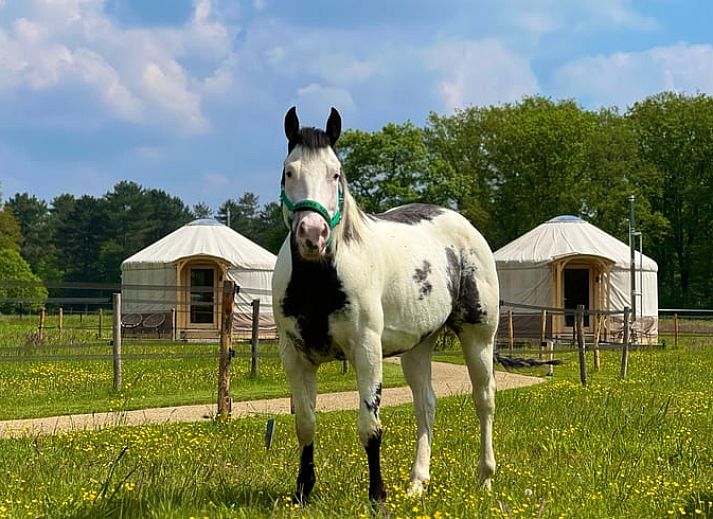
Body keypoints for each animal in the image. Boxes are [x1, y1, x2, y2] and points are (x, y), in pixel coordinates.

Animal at [272, 107, 500, 504]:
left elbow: (370, 426)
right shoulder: (295, 355)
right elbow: (305, 423)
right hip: (418, 347)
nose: (312, 236)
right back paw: (417, 482)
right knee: (425, 405)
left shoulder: (367, 350)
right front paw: (303, 491)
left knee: (483, 400)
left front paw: (377, 495)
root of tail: (461, 224)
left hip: (478, 338)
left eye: (336, 173)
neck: (320, 281)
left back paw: (485, 477)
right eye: (289, 171)